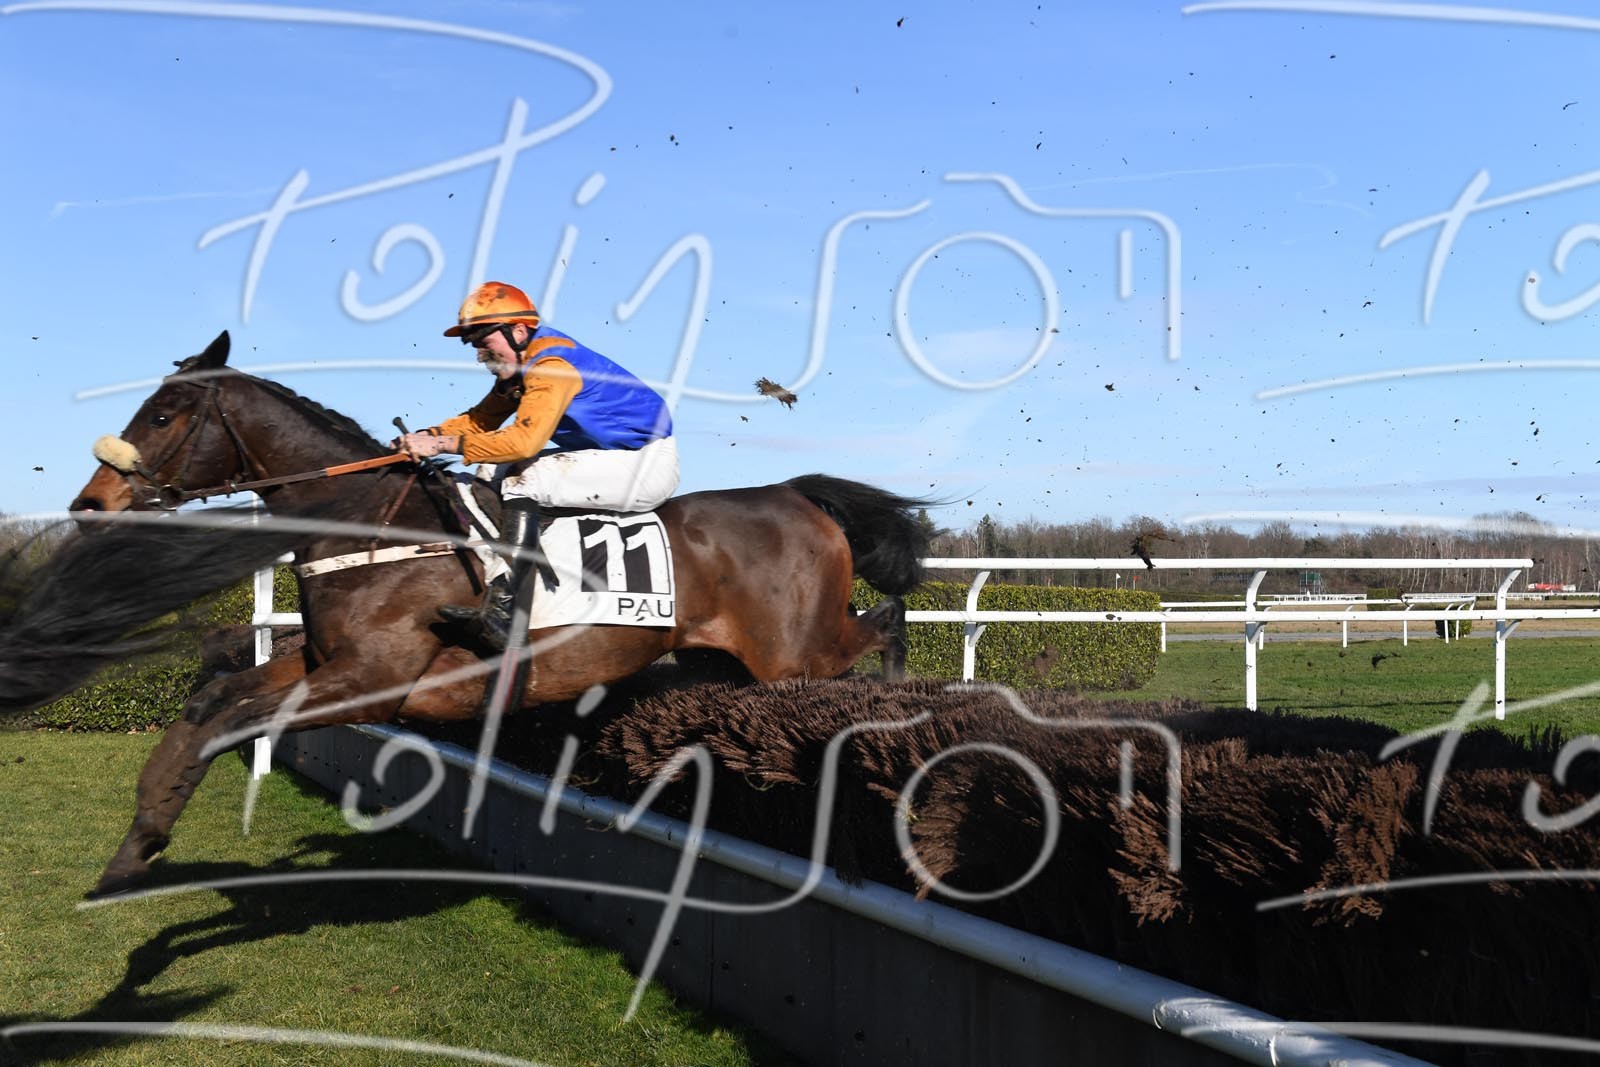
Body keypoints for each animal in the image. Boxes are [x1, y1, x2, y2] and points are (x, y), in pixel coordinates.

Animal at [65, 331, 931, 896]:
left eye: (164, 414)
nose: (89, 504)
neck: (372, 525)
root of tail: (794, 494)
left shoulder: (375, 679)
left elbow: (232, 720)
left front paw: (148, 841)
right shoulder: (322, 661)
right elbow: (210, 704)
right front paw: (135, 845)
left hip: (797, 650)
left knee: (885, 619)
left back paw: (901, 709)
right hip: (725, 657)